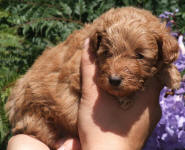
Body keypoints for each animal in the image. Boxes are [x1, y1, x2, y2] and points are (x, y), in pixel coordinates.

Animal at [5, 6, 181, 149]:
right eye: (107, 53)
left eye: (139, 56)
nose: (114, 80)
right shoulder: (77, 75)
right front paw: (126, 97)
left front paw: (172, 74)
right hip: (36, 117)